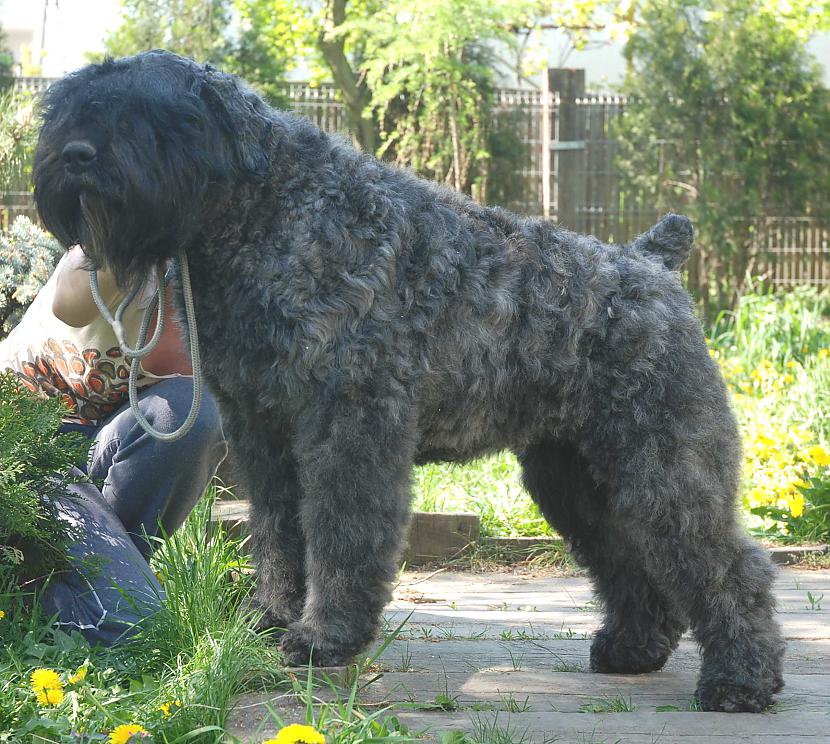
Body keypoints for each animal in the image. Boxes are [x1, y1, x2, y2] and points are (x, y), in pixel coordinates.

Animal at [34, 49, 788, 712]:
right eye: (69, 106)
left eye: (148, 113)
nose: (74, 155)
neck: (270, 213)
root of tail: (650, 266)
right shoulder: (266, 438)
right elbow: (278, 534)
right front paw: (271, 618)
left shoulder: (348, 428)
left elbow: (341, 535)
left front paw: (323, 637)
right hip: (574, 476)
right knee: (628, 558)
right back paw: (633, 648)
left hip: (664, 461)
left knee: (728, 566)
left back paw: (739, 682)